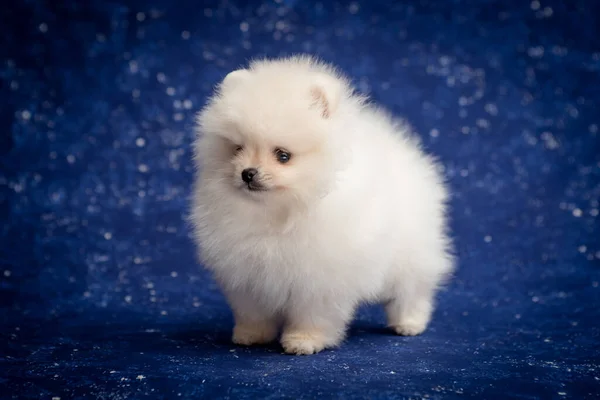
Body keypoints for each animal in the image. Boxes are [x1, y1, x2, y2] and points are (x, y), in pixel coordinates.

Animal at [192, 54, 454, 354]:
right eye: (237, 149)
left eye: (283, 155)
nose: (247, 173)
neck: (280, 211)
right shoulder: (248, 274)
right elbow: (254, 311)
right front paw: (251, 334)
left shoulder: (320, 275)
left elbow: (313, 313)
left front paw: (304, 340)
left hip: (411, 255)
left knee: (412, 291)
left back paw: (409, 323)